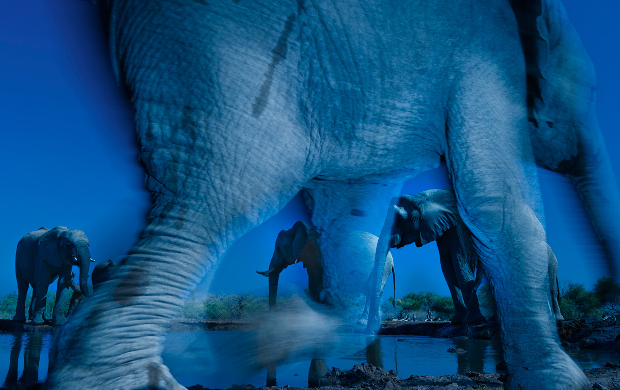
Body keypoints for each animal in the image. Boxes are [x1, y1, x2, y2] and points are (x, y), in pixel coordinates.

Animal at [256, 221, 394, 322]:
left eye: (278, 248)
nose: (273, 316)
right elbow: (313, 287)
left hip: (383, 267)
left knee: (372, 291)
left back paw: (363, 321)